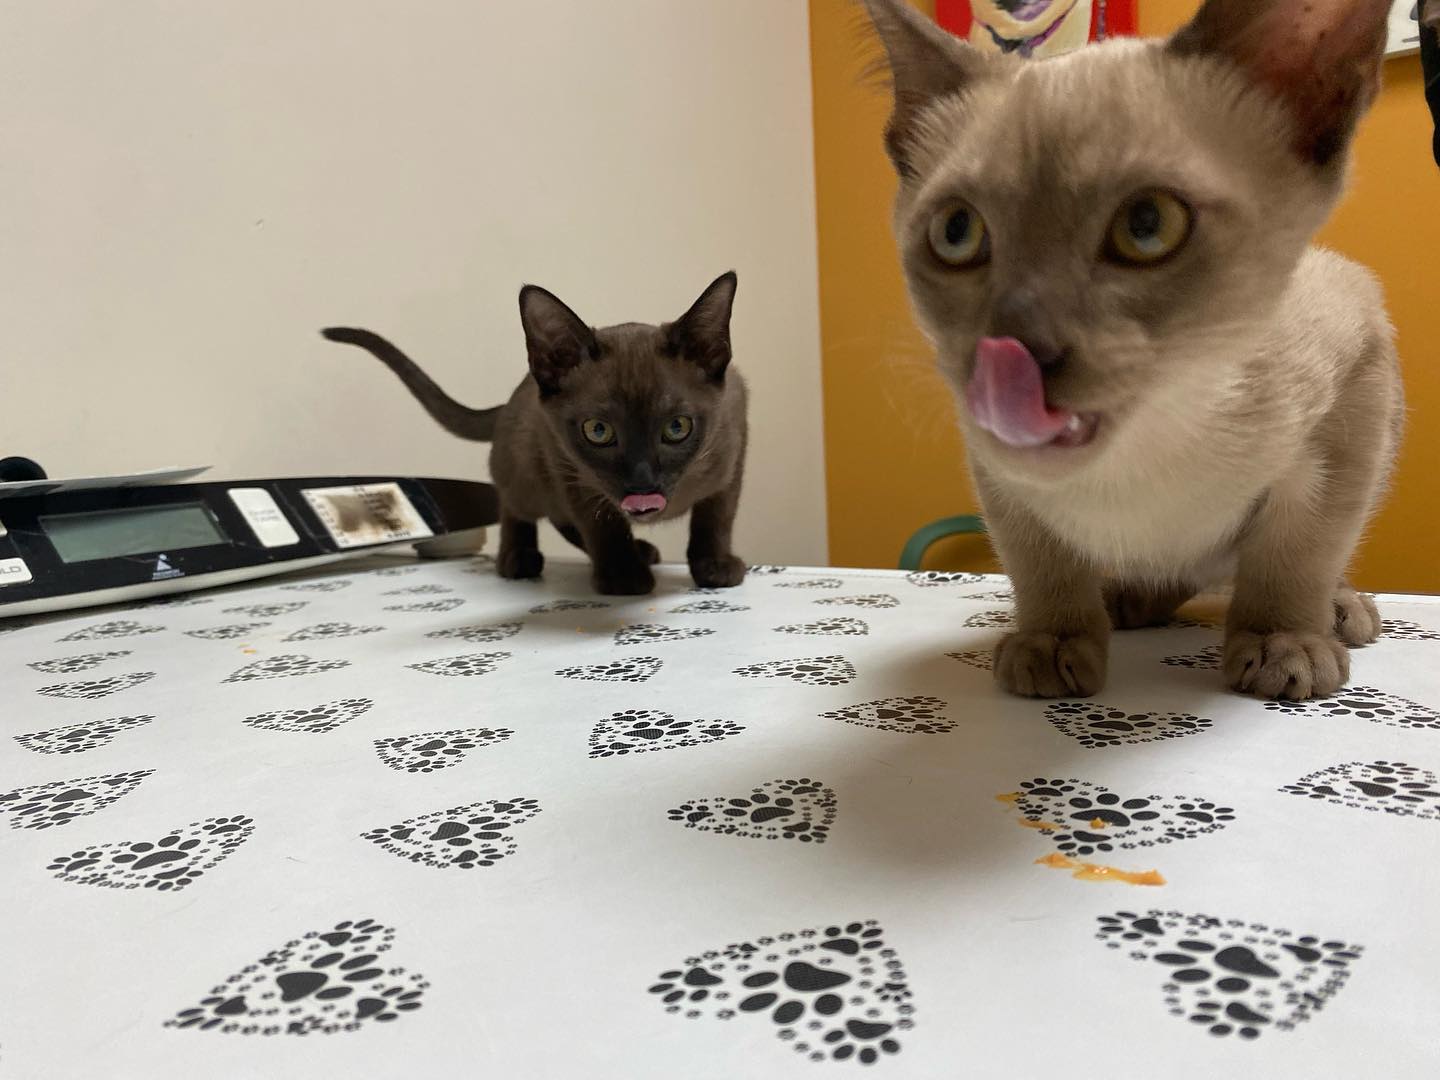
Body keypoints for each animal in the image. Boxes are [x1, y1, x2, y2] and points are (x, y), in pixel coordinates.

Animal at [322, 272, 747, 596]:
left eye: (677, 428)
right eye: (598, 431)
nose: (642, 486)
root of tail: (512, 398)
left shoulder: (735, 447)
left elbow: (715, 517)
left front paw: (714, 566)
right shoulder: (566, 463)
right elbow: (603, 526)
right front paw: (623, 578)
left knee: (563, 520)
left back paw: (641, 550)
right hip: (528, 468)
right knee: (517, 507)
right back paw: (520, 558)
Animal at [861, 0, 1404, 701]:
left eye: (1147, 225)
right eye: (957, 233)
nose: (1012, 351)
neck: (1143, 451)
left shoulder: (1353, 396)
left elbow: (1299, 553)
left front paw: (1281, 641)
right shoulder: (1000, 475)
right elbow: (1041, 563)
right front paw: (1054, 640)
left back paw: (1338, 613)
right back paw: (1126, 600)